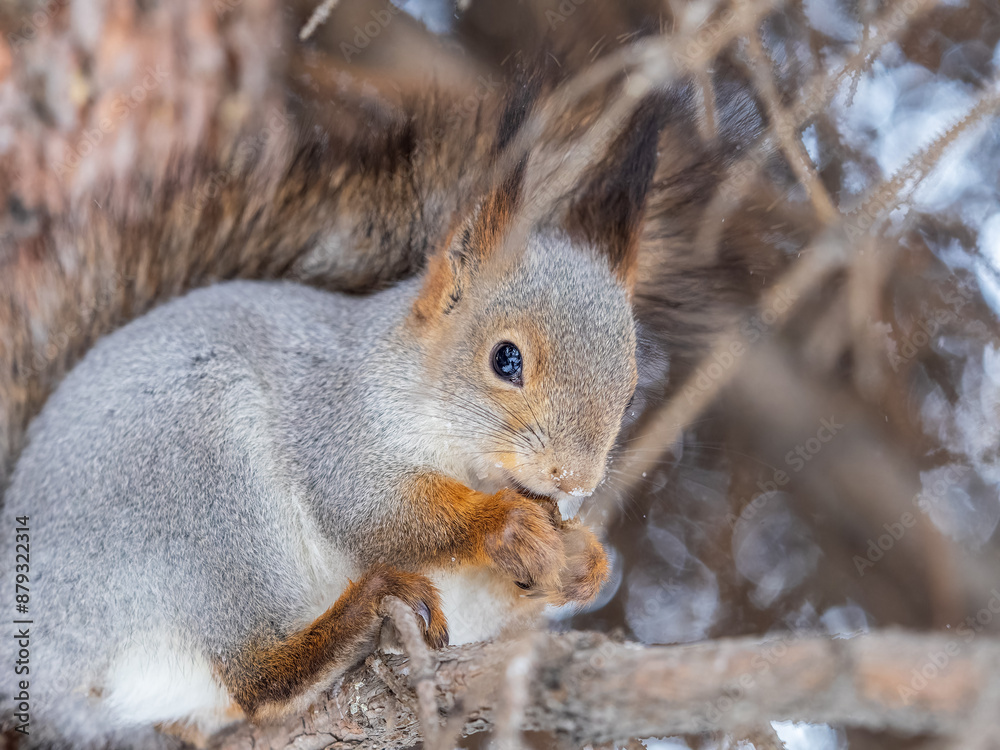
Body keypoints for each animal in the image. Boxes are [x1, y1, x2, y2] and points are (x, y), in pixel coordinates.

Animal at [0, 72, 668, 745]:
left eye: (631, 387)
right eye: (506, 359)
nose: (575, 479)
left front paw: (585, 559)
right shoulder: (335, 418)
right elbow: (369, 508)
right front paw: (502, 523)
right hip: (200, 485)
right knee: (257, 676)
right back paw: (353, 619)